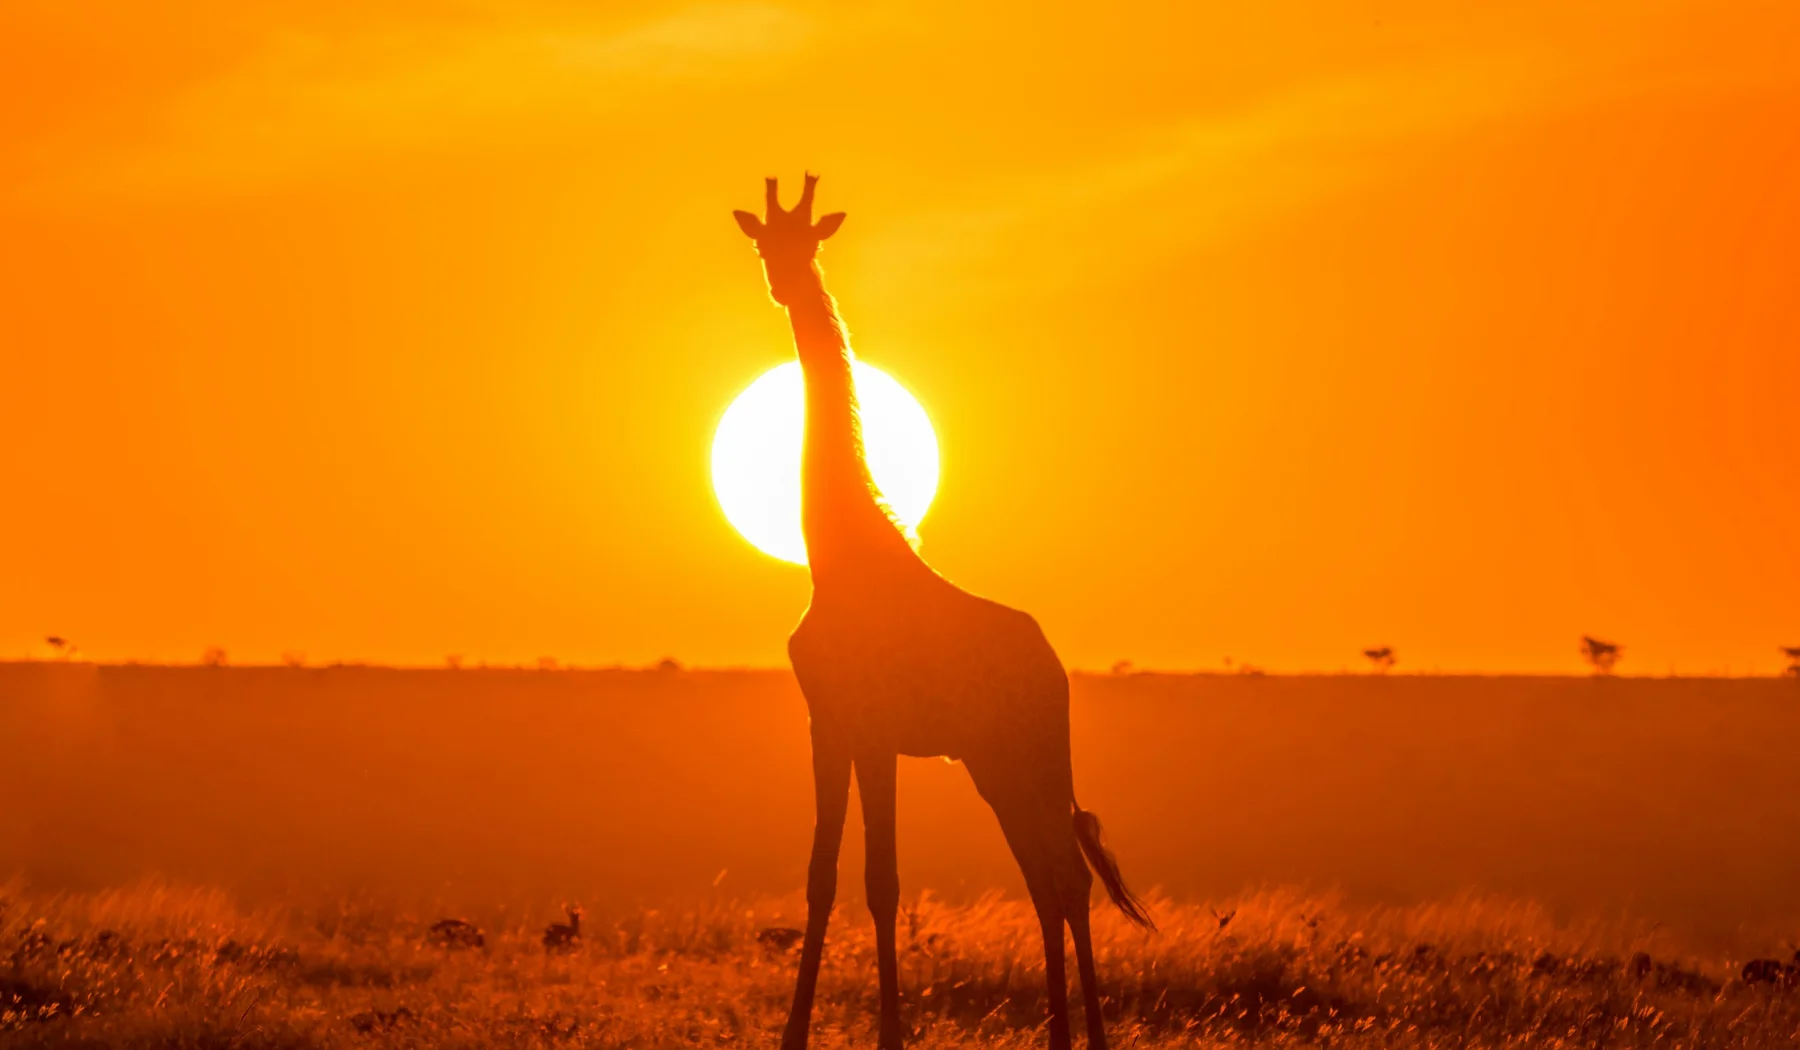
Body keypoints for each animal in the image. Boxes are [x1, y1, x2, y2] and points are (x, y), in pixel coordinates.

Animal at [732, 174, 1153, 1050]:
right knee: (1048, 875)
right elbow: (822, 877)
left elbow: (882, 881)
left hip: (1031, 754)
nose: (785, 284)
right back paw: (1062, 1037)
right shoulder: (829, 725)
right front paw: (793, 1036)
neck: (838, 555)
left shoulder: (875, 734)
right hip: (994, 763)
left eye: (808, 241)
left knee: (1066, 874)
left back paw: (1086, 1040)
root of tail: (1054, 668)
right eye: (763, 243)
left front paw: (892, 1034)